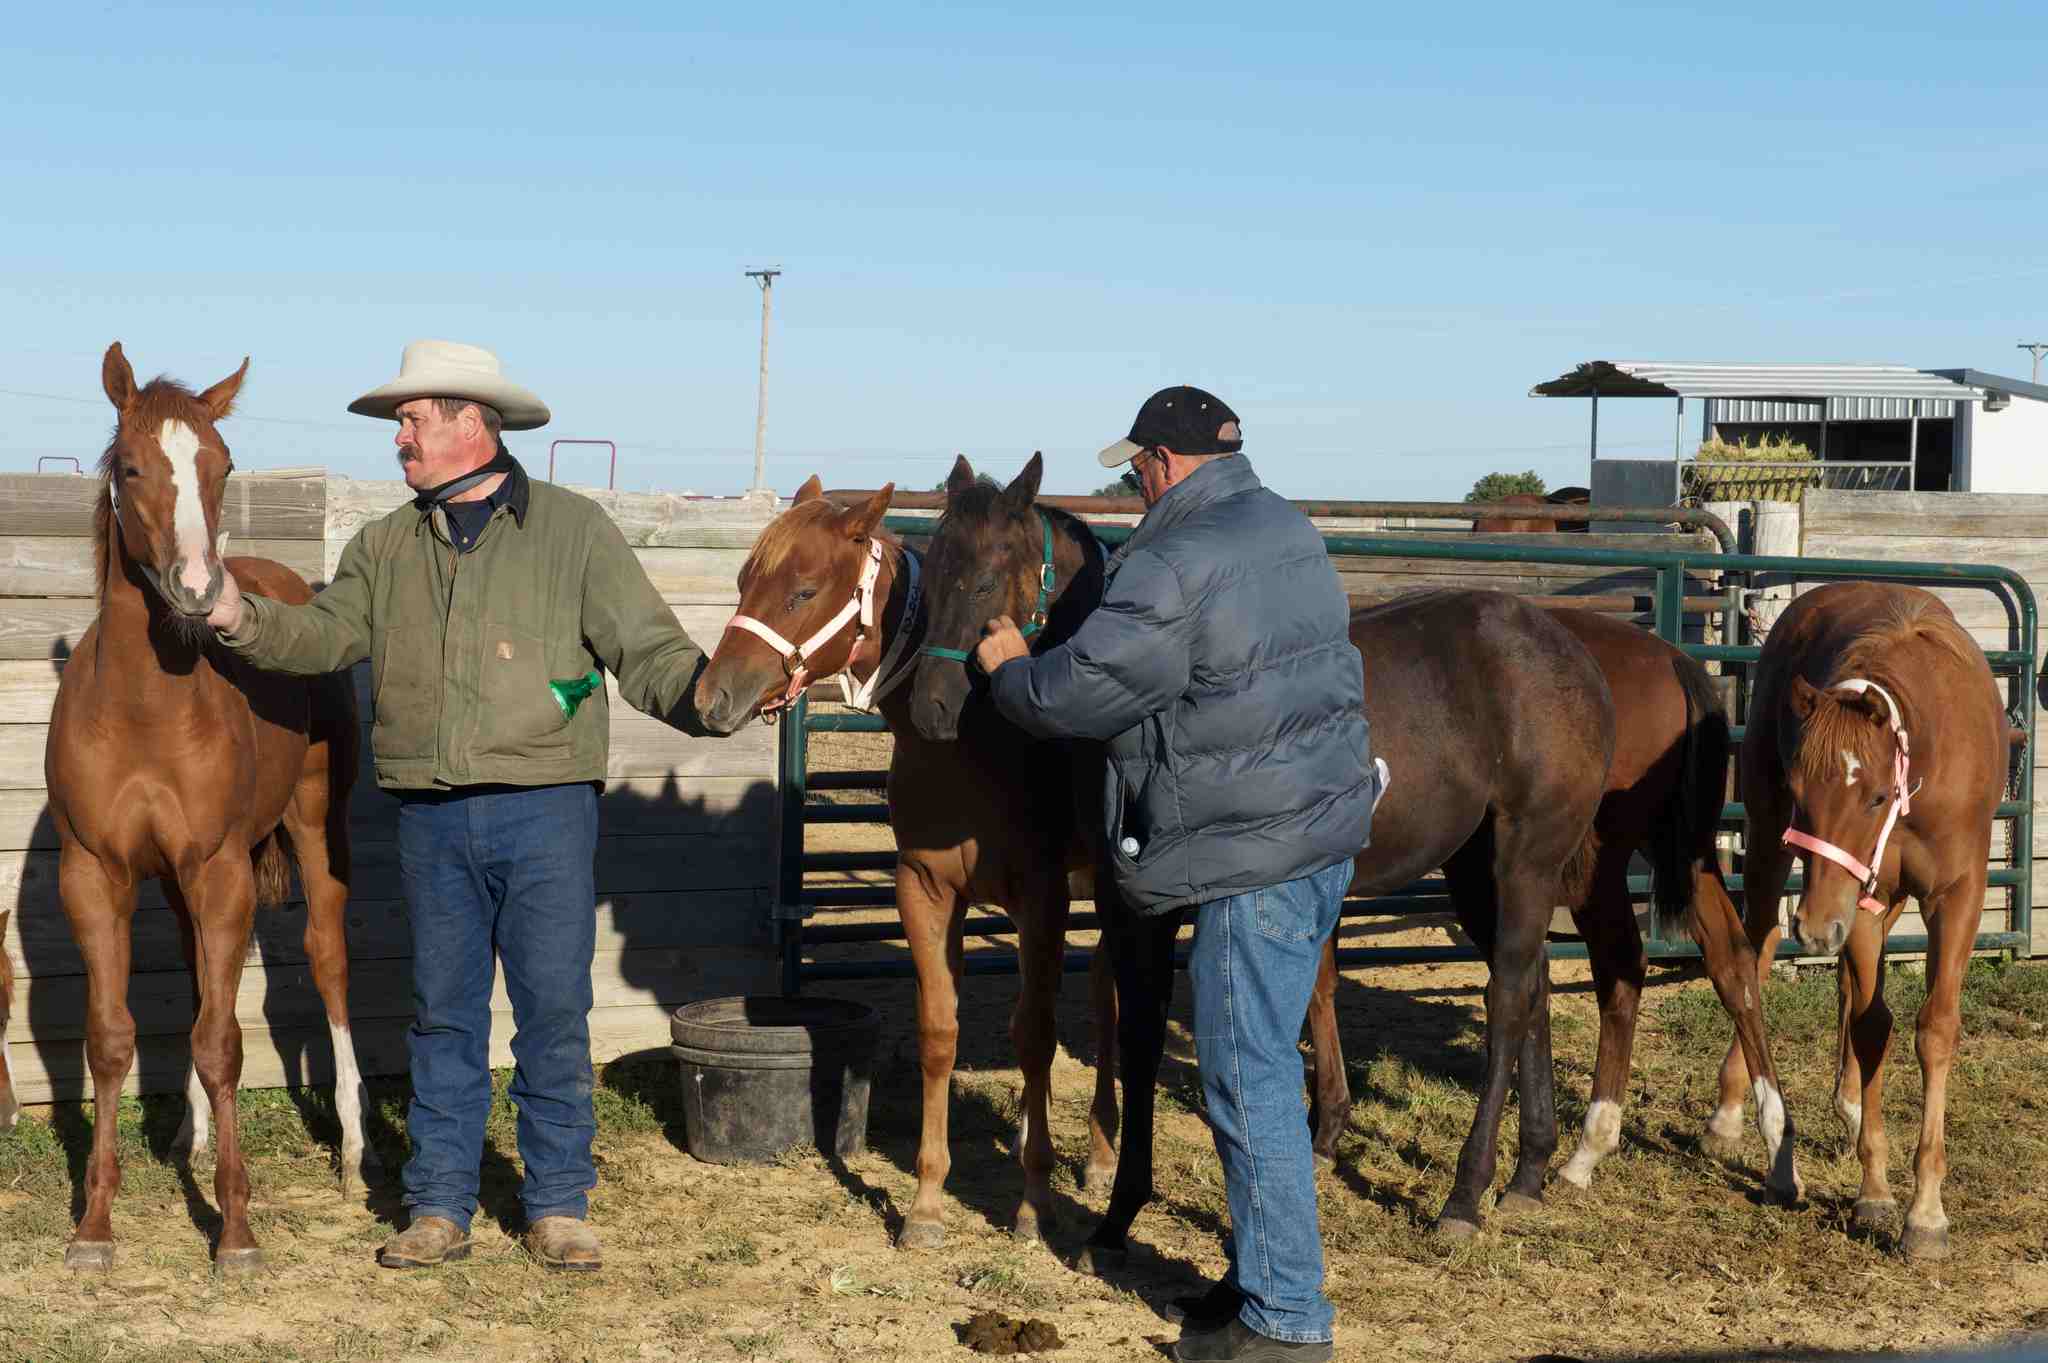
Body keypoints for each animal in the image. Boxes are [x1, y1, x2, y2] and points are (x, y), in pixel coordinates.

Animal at [46, 345, 374, 1268]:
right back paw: (189, 1136)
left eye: (222, 465)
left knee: (328, 958)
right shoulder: (95, 876)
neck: (143, 711)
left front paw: (235, 1229)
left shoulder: (222, 869)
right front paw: (94, 1225)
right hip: (177, 881)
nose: (197, 588)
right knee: (199, 976)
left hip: (315, 827)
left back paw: (354, 1150)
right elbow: (114, 1037)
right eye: (130, 466)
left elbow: (223, 1041)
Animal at [700, 472, 1122, 1244]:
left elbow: (1036, 1035)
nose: (712, 695)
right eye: (745, 580)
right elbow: (939, 1031)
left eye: (804, 591)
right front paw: (926, 1202)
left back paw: (1100, 1155)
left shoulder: (1042, 898)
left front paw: (1032, 1201)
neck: (977, 740)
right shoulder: (924, 889)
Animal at [1302, 609, 1802, 1195]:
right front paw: (1324, 1127)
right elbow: (1318, 987)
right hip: (1675, 848)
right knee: (1728, 959)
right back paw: (1767, 1143)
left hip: (1585, 863)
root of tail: (1670, 657)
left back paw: (1585, 1147)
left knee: (1613, 966)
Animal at [1720, 577, 2007, 1260]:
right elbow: (1875, 1025)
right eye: (1802, 793)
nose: (1815, 928)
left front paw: (1926, 1213)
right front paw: (1876, 1193)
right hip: (1773, 853)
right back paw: (1734, 1110)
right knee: (1756, 954)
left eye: (1875, 796)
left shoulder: (1956, 895)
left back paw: (1848, 1105)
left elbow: (1933, 1028)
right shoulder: (1861, 901)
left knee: (1847, 988)